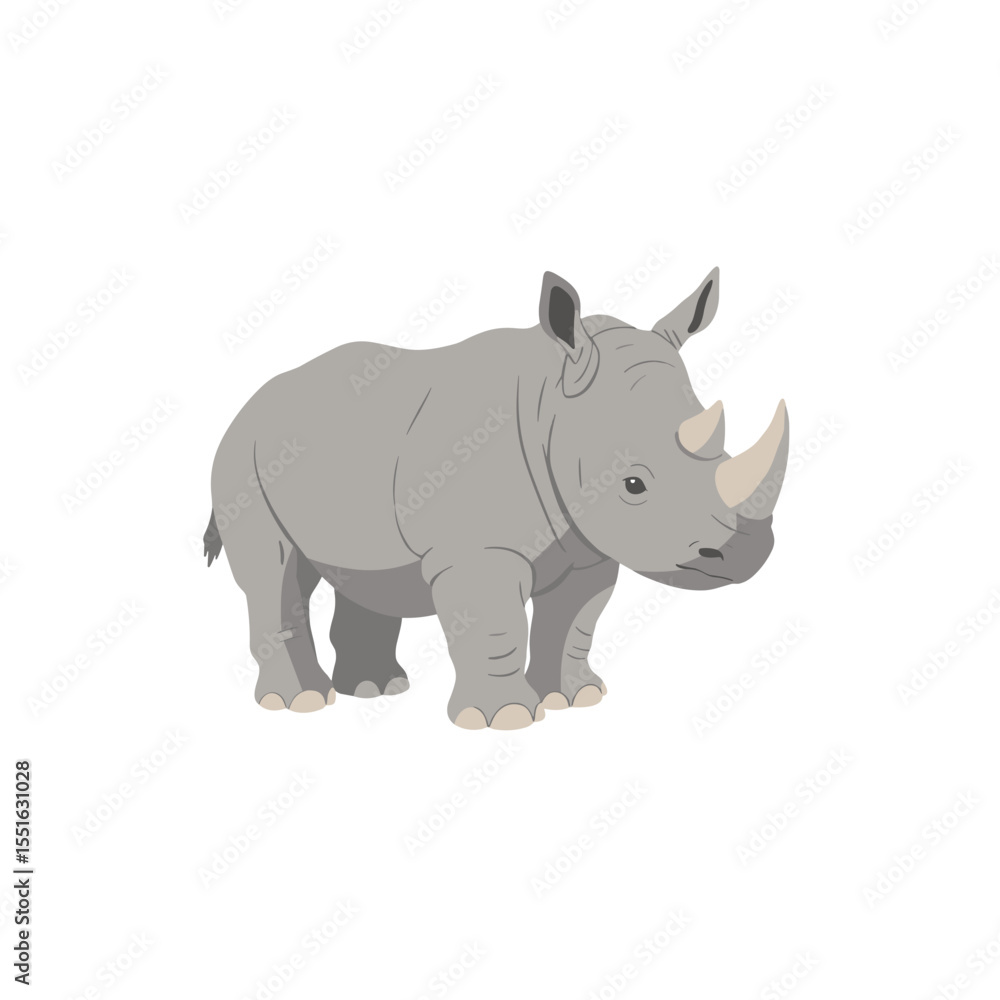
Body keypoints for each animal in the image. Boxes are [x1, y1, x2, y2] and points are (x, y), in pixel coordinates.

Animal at [205, 268, 789, 729]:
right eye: (633, 484)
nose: (745, 553)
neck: (555, 405)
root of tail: (248, 403)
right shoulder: (475, 552)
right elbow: (497, 624)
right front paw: (504, 719)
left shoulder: (588, 545)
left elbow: (575, 621)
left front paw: (576, 699)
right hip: (240, 457)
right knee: (273, 572)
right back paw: (301, 703)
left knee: (361, 571)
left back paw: (376, 691)